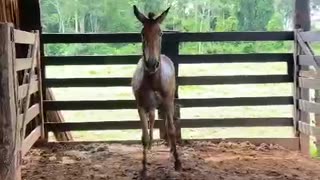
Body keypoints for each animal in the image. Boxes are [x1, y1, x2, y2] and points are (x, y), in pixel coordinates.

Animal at [130, 5, 180, 177]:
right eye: (142, 33)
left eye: (160, 33)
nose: (152, 63)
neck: (153, 81)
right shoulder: (140, 106)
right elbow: (144, 136)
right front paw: (144, 168)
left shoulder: (168, 103)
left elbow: (171, 130)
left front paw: (177, 163)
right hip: (151, 107)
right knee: (151, 120)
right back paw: (152, 145)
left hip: (167, 103)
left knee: (166, 122)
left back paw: (171, 148)